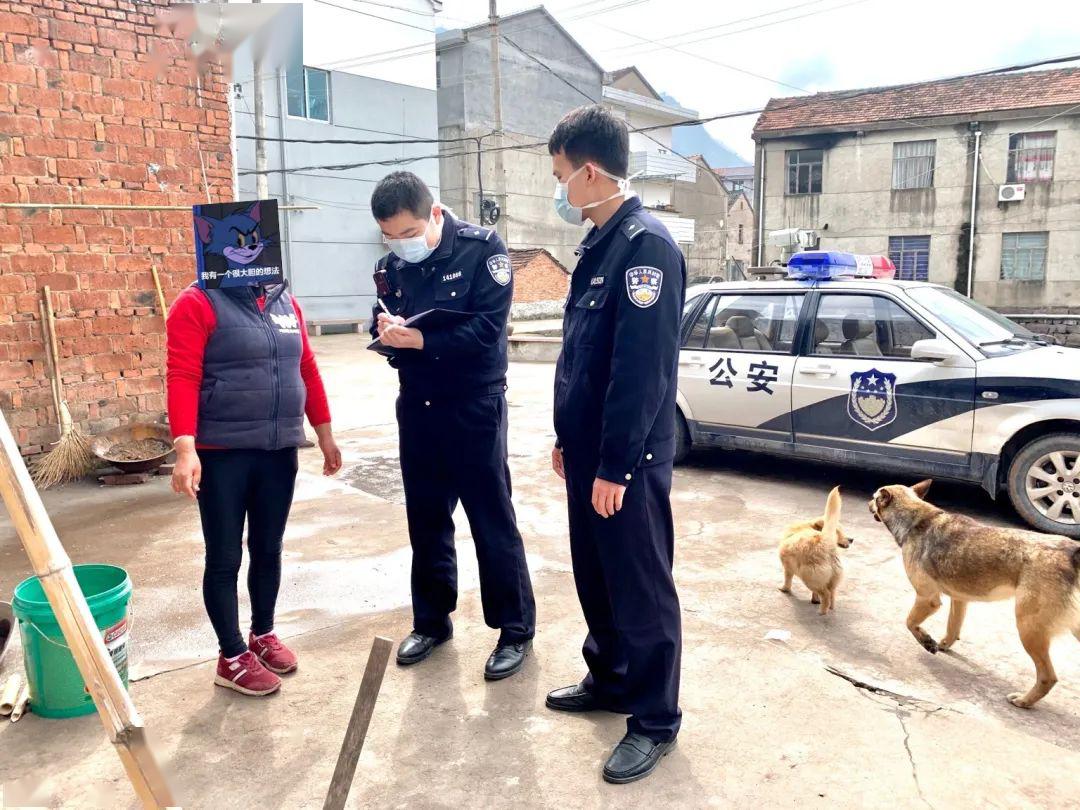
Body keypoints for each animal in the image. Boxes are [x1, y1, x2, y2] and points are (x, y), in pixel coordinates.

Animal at [779, 486, 851, 615]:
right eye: (838, 532)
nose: (851, 539)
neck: (806, 527)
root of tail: (826, 541)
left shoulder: (788, 568)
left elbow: (787, 580)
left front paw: (784, 589)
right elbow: (816, 595)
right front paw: (815, 600)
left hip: (809, 577)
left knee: (826, 594)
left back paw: (822, 611)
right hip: (831, 579)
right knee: (832, 593)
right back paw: (830, 607)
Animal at [870, 479, 1080, 709]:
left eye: (873, 498)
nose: (869, 505)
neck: (916, 518)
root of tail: (1071, 552)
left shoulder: (928, 599)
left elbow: (910, 622)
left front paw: (926, 641)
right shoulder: (959, 599)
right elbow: (953, 627)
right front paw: (943, 644)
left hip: (1029, 629)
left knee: (1047, 677)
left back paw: (1024, 700)